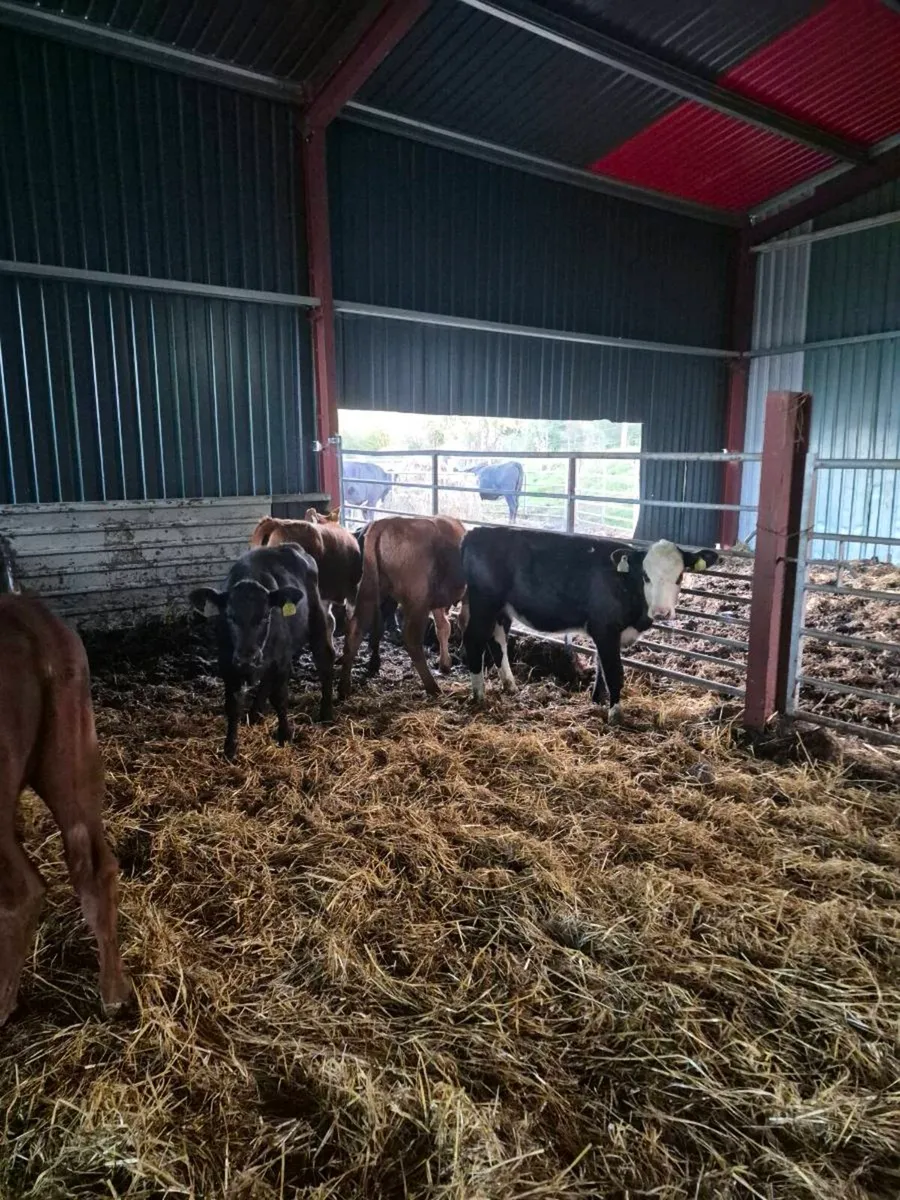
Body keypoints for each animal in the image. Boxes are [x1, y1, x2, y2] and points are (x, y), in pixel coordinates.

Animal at [190, 544, 334, 760]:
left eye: (266, 616)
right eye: (229, 616)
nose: (247, 657)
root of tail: (293, 546)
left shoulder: (281, 660)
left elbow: (280, 698)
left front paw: (285, 735)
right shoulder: (227, 664)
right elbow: (233, 704)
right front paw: (230, 748)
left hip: (318, 621)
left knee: (325, 659)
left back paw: (326, 714)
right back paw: (255, 713)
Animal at [340, 516, 469, 699]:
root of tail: (384, 523)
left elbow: (443, 627)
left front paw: (445, 664)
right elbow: (463, 622)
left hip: (368, 591)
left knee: (355, 631)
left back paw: (344, 687)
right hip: (418, 603)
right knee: (411, 639)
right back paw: (432, 687)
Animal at [461, 528, 717, 722]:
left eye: (680, 575)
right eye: (645, 575)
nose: (662, 612)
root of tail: (477, 532)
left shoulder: (608, 633)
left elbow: (600, 666)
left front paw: (597, 700)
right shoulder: (605, 629)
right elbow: (614, 671)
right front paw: (615, 714)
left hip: (502, 609)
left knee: (499, 642)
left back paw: (510, 685)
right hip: (484, 602)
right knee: (474, 640)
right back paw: (479, 695)